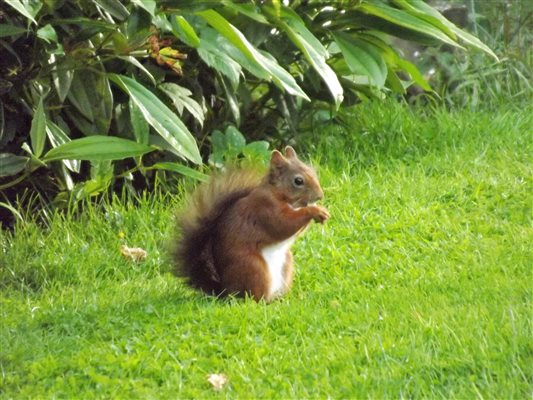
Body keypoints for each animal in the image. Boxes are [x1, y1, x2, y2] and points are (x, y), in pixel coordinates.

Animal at [172, 148, 328, 304]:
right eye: (298, 181)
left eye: (313, 172)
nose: (320, 196)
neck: (276, 193)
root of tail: (224, 291)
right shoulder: (265, 209)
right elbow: (283, 224)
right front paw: (314, 211)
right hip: (253, 268)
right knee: (255, 297)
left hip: (286, 265)